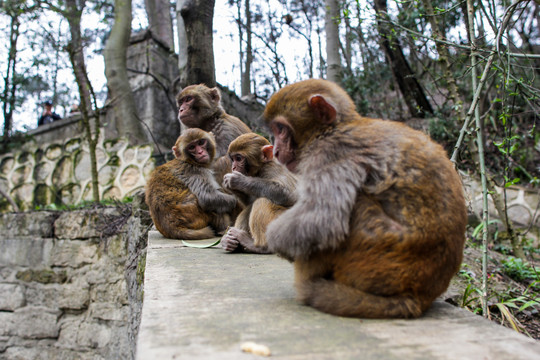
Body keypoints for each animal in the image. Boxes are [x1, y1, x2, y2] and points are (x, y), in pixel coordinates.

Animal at [262, 79, 468, 318]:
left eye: (281, 129)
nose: (276, 150)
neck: (333, 129)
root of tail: (419, 298)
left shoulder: (330, 152)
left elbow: (321, 220)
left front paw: (274, 240)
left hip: (377, 258)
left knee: (352, 207)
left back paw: (309, 286)